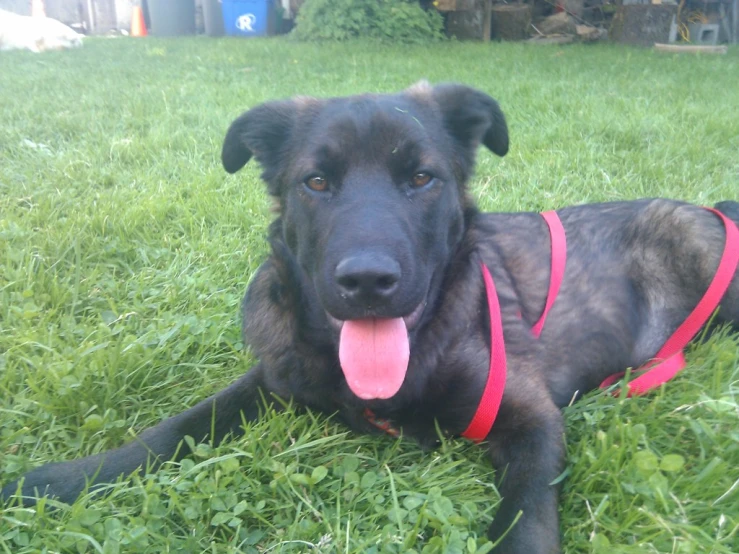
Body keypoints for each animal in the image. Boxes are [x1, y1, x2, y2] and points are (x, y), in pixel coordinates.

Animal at [2, 83, 736, 552]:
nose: (367, 282)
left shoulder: (529, 417)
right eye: (316, 182)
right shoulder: (273, 377)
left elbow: (527, 514)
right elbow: (170, 430)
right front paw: (58, 481)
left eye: (421, 179)